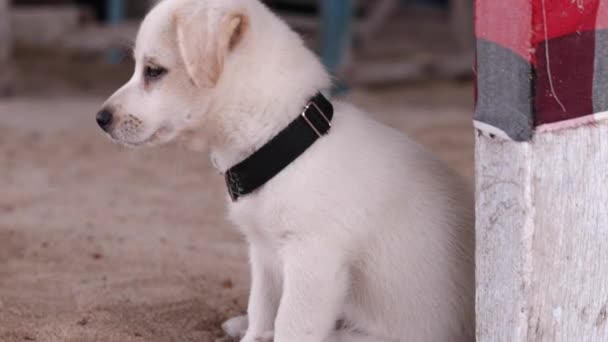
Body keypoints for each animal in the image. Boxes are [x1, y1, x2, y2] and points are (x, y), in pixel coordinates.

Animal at [96, 0, 476, 342]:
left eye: (154, 71)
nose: (100, 118)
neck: (283, 140)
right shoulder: (264, 255)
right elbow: (262, 310)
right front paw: (252, 332)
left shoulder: (312, 262)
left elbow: (290, 327)